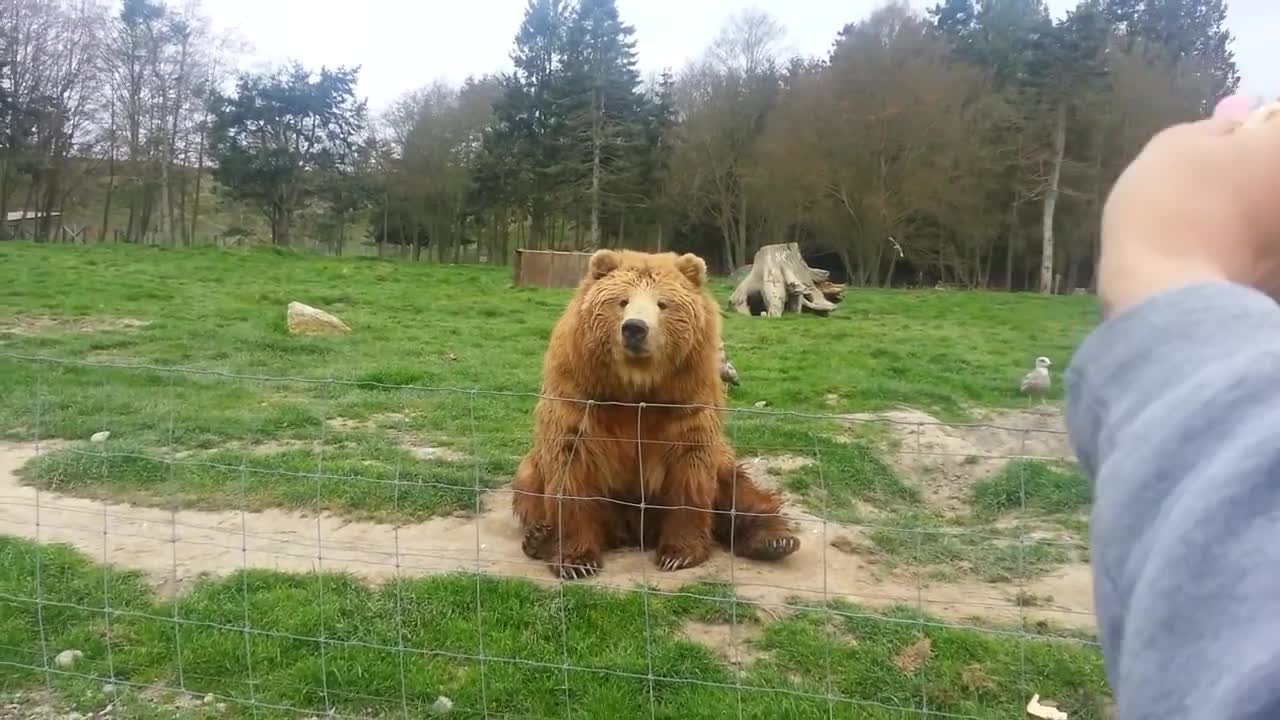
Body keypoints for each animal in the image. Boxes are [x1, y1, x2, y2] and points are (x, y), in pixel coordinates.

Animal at [512, 245, 798, 576]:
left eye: (663, 304)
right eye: (622, 301)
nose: (635, 328)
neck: (636, 387)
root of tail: (633, 532)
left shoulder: (684, 403)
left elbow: (689, 472)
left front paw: (679, 553)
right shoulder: (581, 398)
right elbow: (571, 470)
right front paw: (576, 560)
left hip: (722, 463)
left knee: (738, 488)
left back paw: (774, 540)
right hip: (538, 474)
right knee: (528, 485)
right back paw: (538, 536)